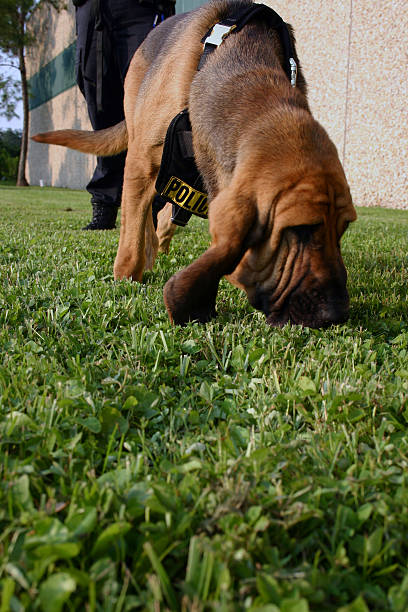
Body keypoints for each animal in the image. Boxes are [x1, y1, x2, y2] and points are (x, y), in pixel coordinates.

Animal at [32, 0, 356, 330]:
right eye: (301, 230)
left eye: (343, 228)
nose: (337, 313)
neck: (249, 73)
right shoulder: (140, 164)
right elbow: (131, 242)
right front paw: (127, 277)